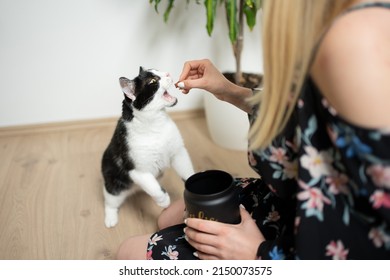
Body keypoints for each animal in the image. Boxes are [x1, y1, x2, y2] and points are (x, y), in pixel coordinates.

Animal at [101, 67, 194, 228]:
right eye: (152, 81)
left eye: (160, 71)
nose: (168, 73)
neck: (155, 124)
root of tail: (135, 190)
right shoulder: (137, 170)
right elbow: (155, 189)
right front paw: (164, 201)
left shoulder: (178, 152)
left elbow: (187, 171)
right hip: (115, 185)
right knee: (110, 202)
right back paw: (111, 219)